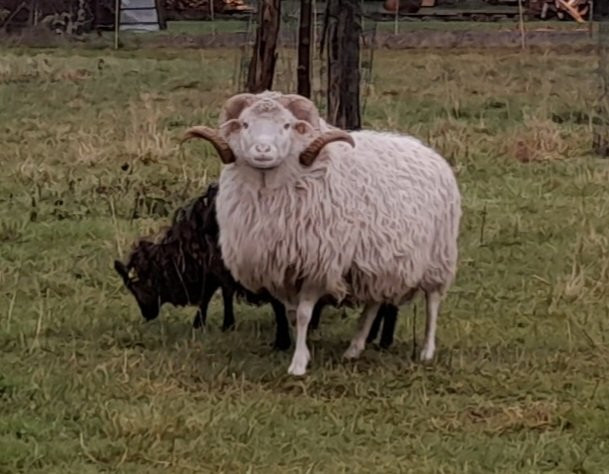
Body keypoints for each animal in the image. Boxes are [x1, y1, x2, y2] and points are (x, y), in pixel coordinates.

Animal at [114, 181, 400, 351]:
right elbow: (218, 292)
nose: (147, 315)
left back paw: (381, 340)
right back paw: (376, 338)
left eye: (138, 287)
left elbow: (220, 293)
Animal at [181, 91, 461, 376]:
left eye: (287, 125)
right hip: (377, 261)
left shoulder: (317, 265)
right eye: (246, 124)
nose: (262, 151)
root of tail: (428, 150)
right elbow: (291, 315)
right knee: (373, 303)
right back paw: (354, 348)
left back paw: (427, 351)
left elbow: (305, 314)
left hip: (439, 255)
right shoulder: (279, 267)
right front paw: (299, 349)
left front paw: (298, 365)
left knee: (432, 302)